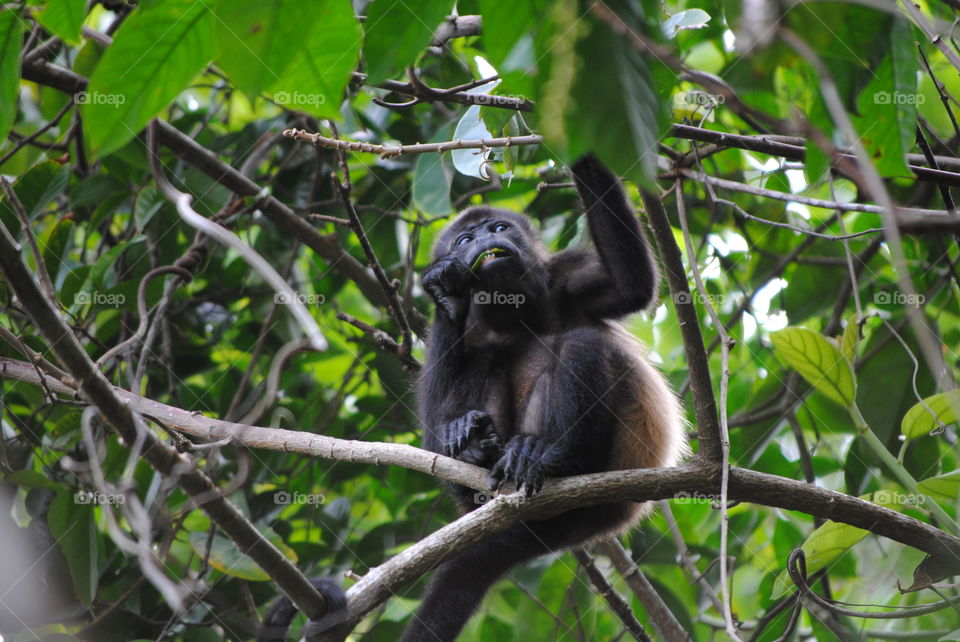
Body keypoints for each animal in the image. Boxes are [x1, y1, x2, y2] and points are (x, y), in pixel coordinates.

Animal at [258, 154, 687, 641]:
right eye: (465, 240)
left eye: (499, 228)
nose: (484, 239)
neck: (514, 311)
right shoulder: (470, 325)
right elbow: (432, 425)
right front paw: (445, 293)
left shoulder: (565, 276)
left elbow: (633, 285)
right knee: (485, 363)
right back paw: (478, 449)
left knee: (581, 345)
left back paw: (550, 456)